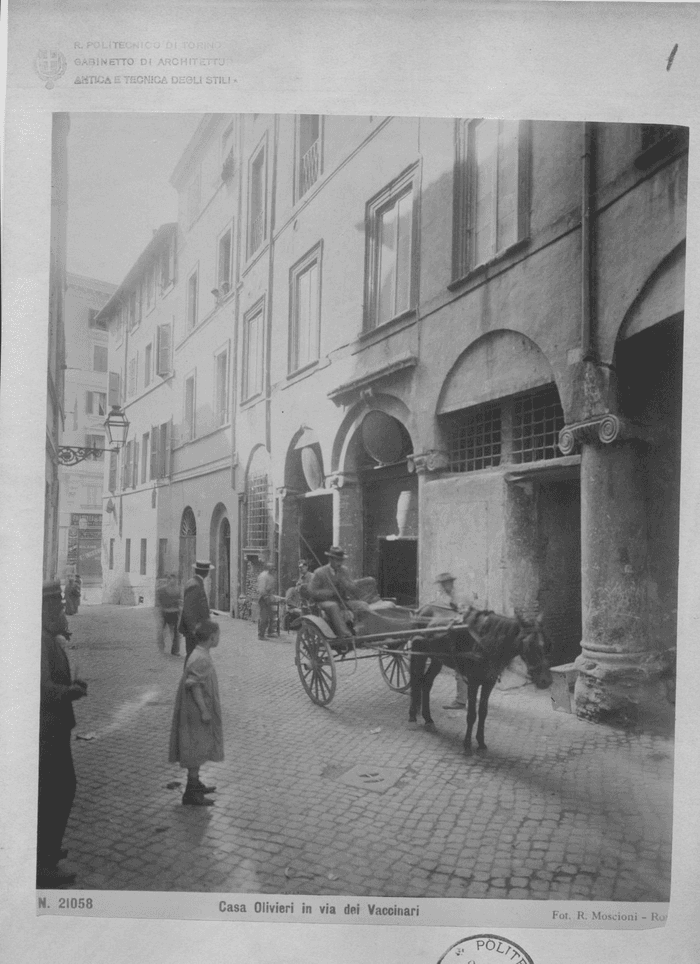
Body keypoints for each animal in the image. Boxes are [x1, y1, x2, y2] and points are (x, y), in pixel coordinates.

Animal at [408, 612, 556, 752]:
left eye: (548, 643)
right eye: (530, 644)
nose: (546, 680)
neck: (486, 643)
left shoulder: (488, 682)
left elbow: (483, 713)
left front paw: (481, 743)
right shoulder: (473, 682)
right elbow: (472, 715)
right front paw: (467, 745)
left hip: (437, 658)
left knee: (426, 683)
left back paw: (428, 719)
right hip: (419, 654)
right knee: (415, 681)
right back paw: (412, 718)